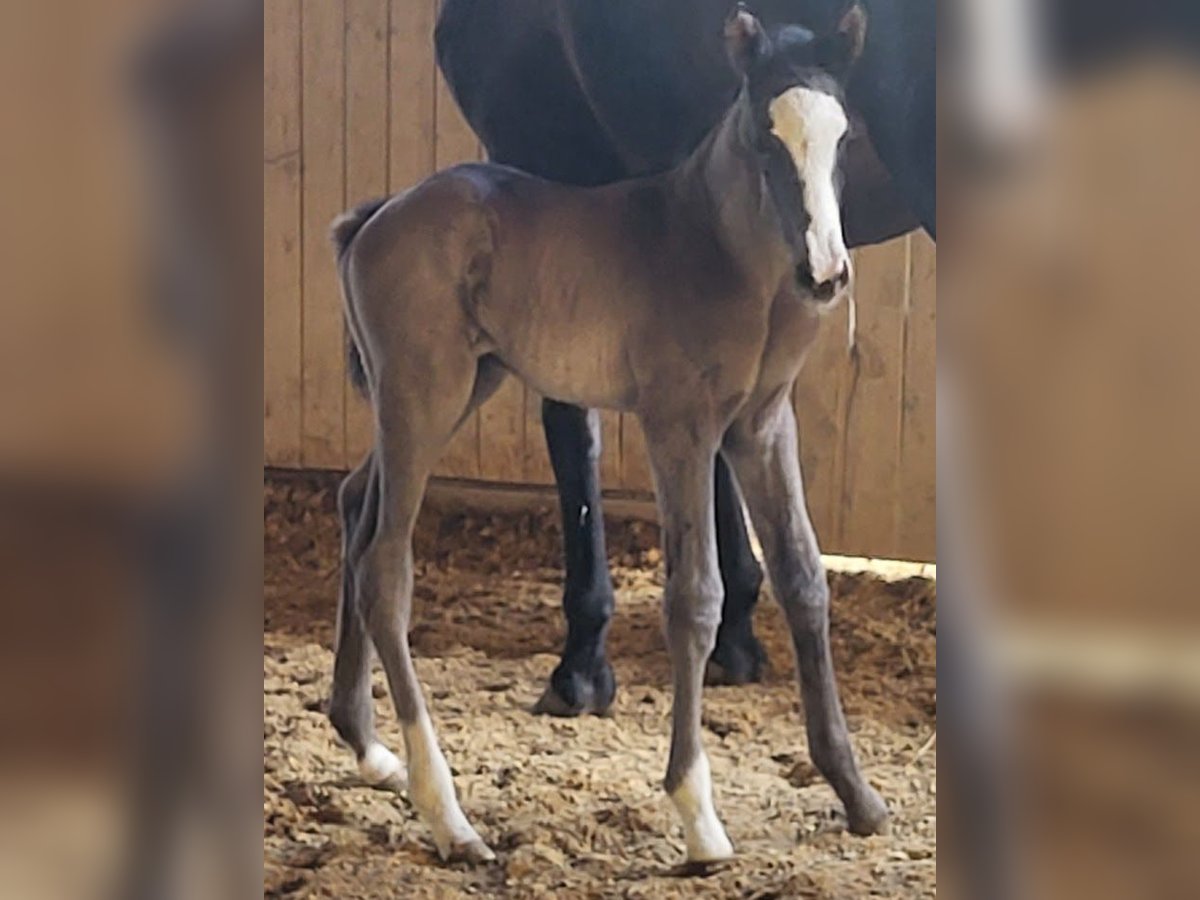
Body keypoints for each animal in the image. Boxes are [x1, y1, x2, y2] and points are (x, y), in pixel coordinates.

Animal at [328, 7, 892, 868]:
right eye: (764, 139)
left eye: (846, 136)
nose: (826, 273)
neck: (717, 246)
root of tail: (376, 219)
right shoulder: (680, 424)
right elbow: (695, 598)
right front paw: (698, 818)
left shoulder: (763, 424)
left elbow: (804, 578)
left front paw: (857, 795)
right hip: (423, 396)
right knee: (385, 566)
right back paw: (450, 818)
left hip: (455, 390)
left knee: (357, 502)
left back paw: (369, 749)